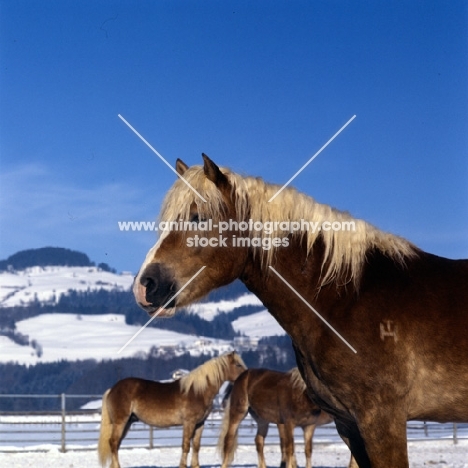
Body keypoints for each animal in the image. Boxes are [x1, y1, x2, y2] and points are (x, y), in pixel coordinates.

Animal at [97, 352, 247, 468]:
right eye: (238, 365)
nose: (246, 376)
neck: (197, 391)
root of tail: (113, 389)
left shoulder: (200, 424)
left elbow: (196, 446)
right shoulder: (189, 423)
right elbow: (186, 445)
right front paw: (182, 465)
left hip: (127, 422)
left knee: (116, 444)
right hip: (120, 422)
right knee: (113, 442)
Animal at [219, 370, 354, 468]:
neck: (301, 394)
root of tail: (242, 376)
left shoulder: (309, 427)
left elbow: (308, 450)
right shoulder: (288, 424)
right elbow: (289, 448)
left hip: (262, 420)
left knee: (259, 441)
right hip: (238, 414)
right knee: (228, 440)